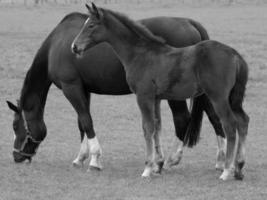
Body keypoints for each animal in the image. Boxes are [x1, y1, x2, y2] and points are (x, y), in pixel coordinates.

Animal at [6, 7, 225, 172]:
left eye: (16, 126)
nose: (17, 156)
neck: (56, 45)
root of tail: (189, 22)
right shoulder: (83, 89)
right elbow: (82, 123)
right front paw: (81, 157)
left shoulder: (71, 87)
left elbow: (86, 121)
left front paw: (94, 159)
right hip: (204, 91)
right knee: (215, 117)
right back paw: (221, 160)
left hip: (176, 94)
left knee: (182, 120)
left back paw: (172, 159)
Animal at [72, 3, 250, 181]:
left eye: (91, 25)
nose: (74, 47)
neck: (141, 54)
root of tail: (235, 54)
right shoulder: (155, 98)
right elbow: (157, 126)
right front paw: (157, 165)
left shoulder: (143, 96)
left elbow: (147, 128)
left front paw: (147, 168)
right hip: (233, 99)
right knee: (243, 121)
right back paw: (239, 168)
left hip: (218, 97)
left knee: (229, 124)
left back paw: (226, 170)